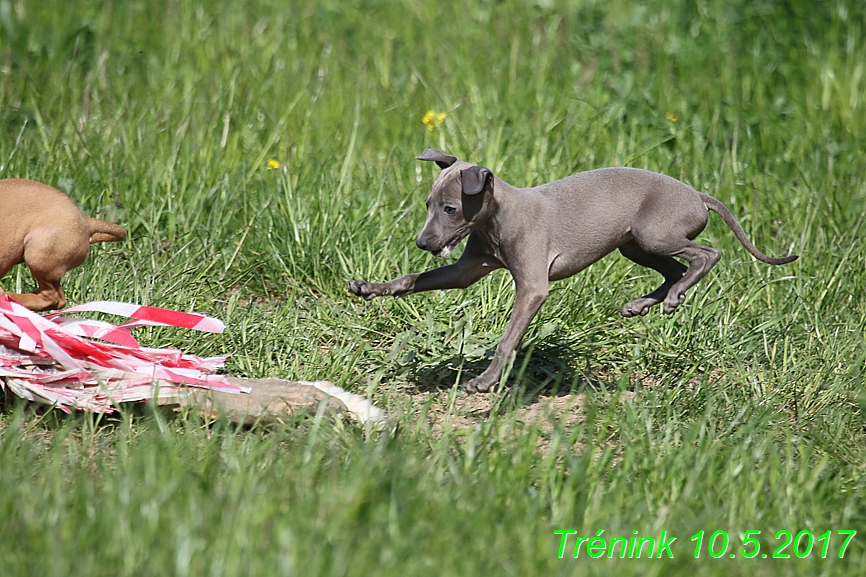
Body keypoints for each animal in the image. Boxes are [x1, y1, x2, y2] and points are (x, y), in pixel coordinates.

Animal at [348, 148, 792, 392]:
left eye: (450, 208)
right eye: (427, 204)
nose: (423, 243)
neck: (497, 219)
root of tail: (697, 194)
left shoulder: (533, 288)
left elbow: (507, 340)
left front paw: (487, 381)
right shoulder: (465, 272)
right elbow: (413, 280)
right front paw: (370, 288)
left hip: (654, 235)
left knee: (707, 254)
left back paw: (675, 297)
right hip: (635, 244)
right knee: (671, 270)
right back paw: (645, 303)